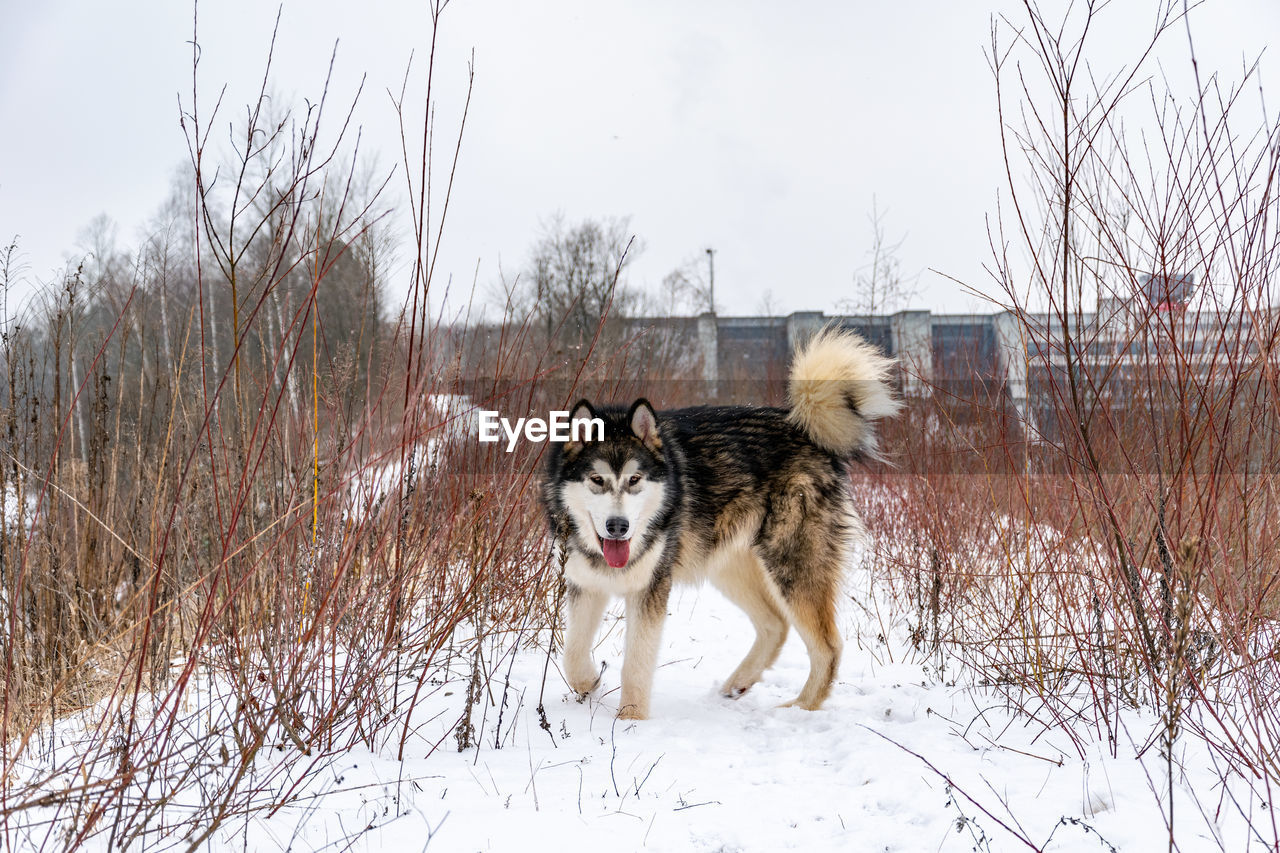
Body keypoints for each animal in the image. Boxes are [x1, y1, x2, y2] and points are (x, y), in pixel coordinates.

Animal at [540, 327, 901, 712]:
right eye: (597, 480)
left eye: (634, 480)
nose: (617, 527)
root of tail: (802, 426)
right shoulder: (585, 583)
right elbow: (572, 653)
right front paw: (589, 683)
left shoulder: (650, 589)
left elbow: (635, 665)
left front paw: (631, 719)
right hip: (728, 566)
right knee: (775, 625)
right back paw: (739, 683)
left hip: (791, 568)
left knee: (827, 646)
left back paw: (800, 708)